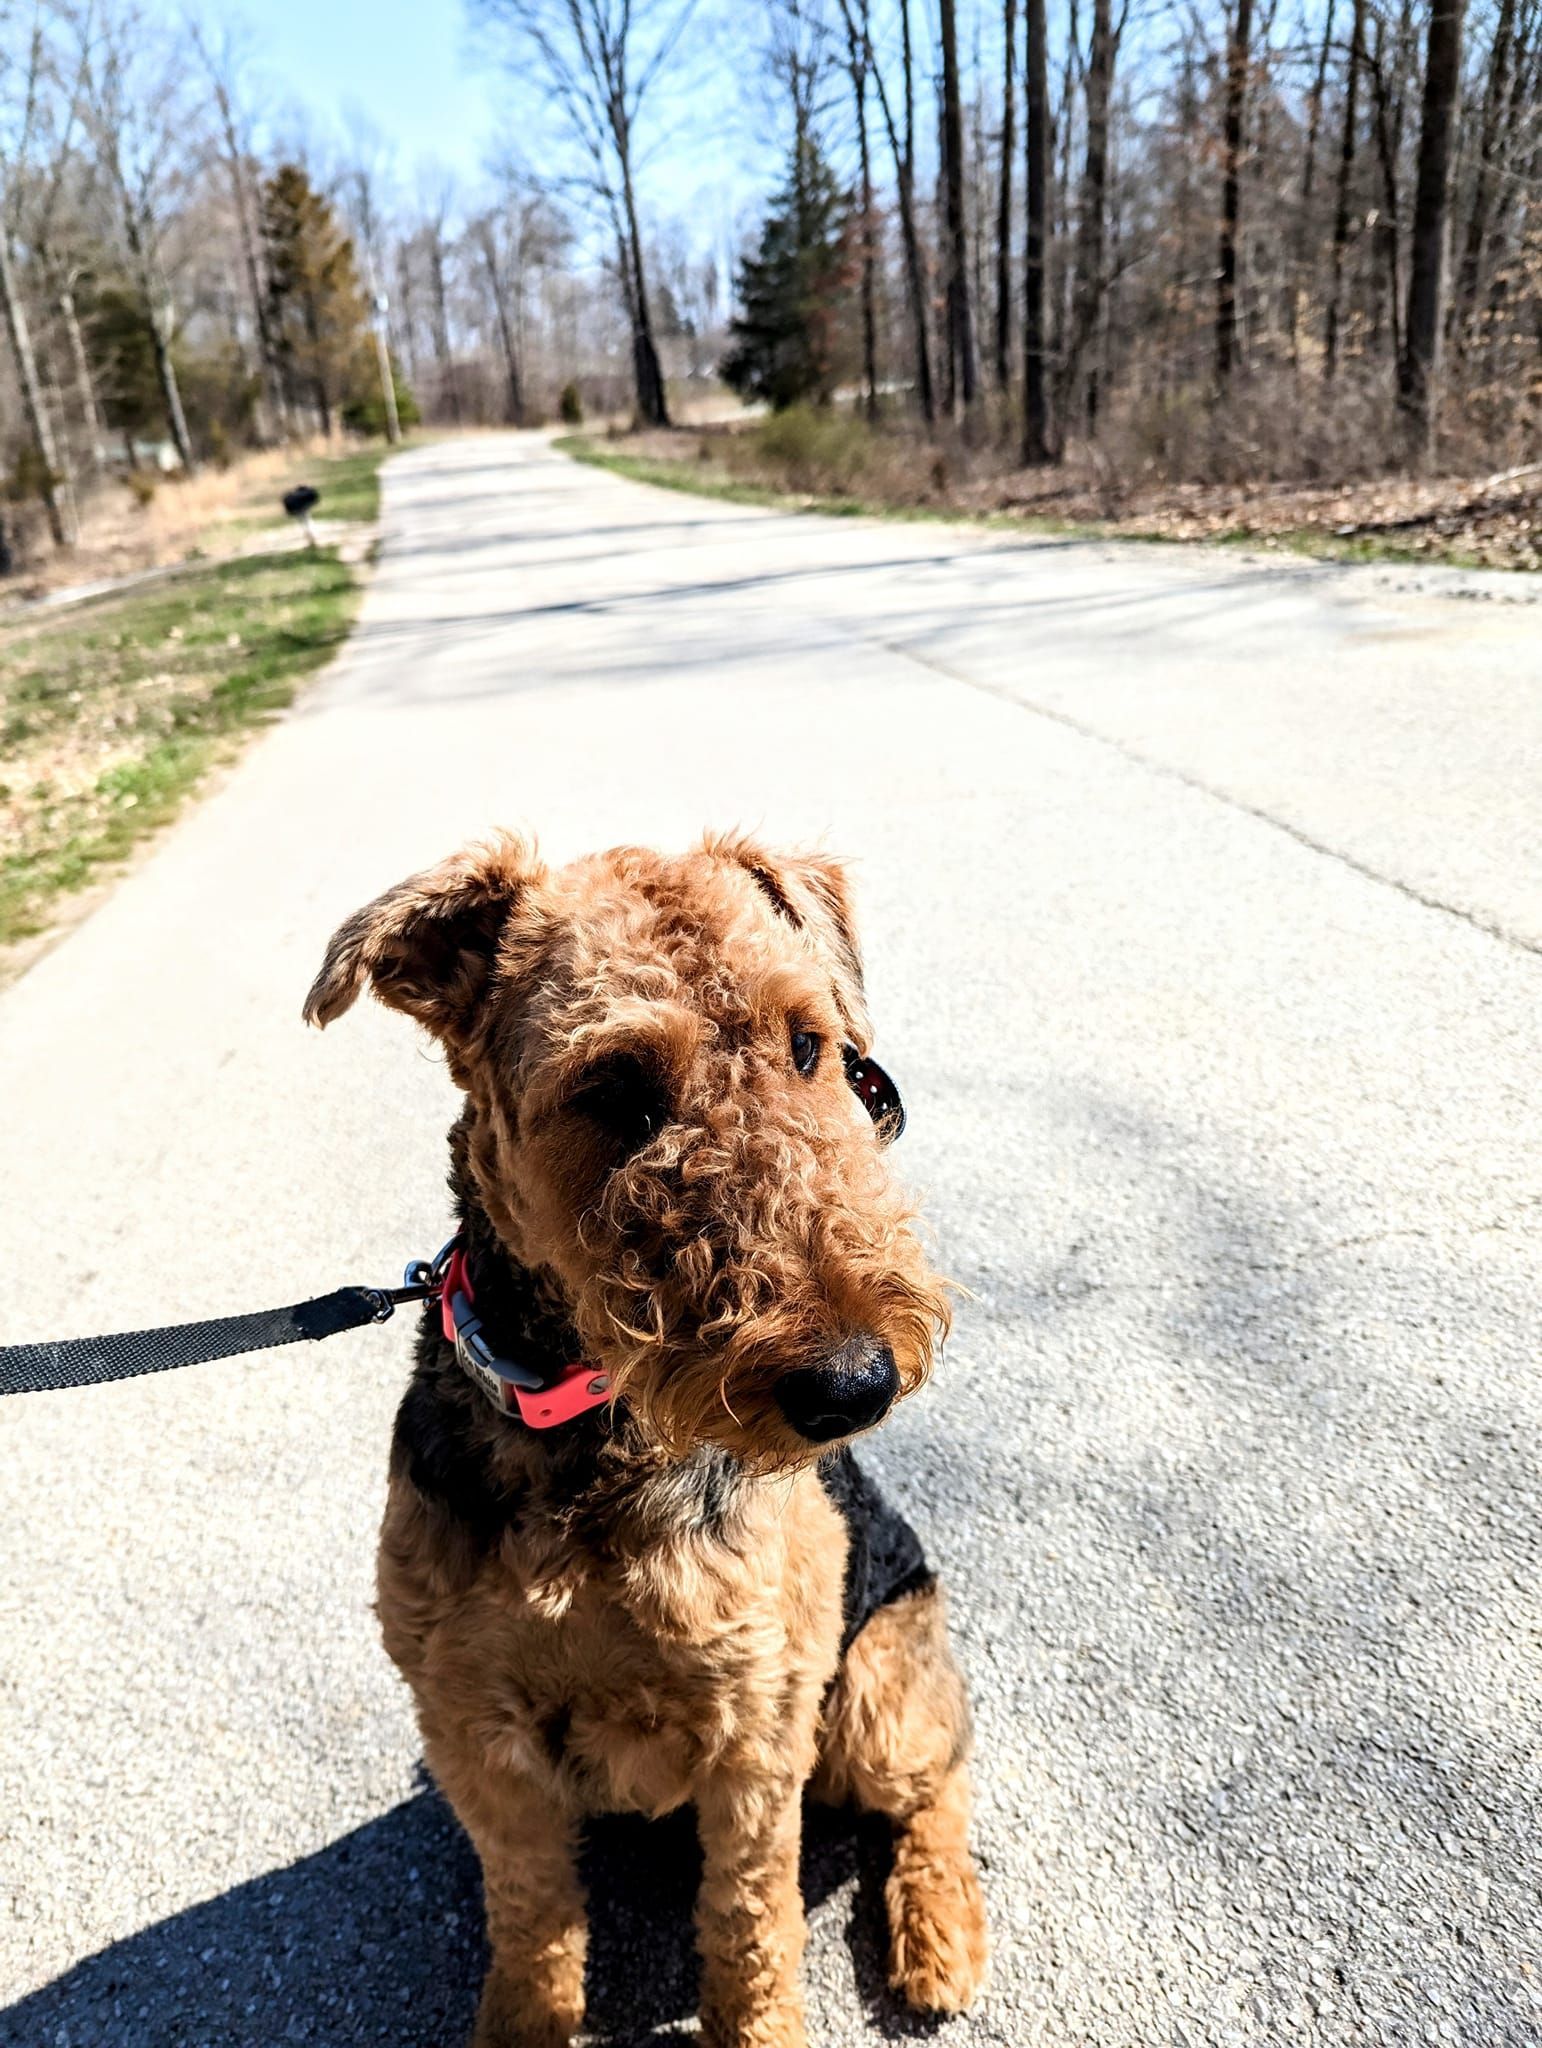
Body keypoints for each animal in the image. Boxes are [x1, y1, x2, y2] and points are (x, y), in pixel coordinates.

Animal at [305, 831, 988, 2048]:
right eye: (614, 1087)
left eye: (809, 1044)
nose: (852, 1384)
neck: (583, 1433)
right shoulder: (475, 1732)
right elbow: (533, 1916)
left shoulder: (757, 1725)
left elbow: (751, 1928)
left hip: (873, 1694)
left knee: (940, 1785)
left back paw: (937, 1940)